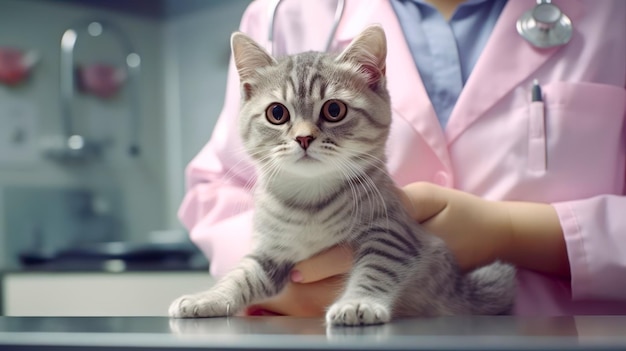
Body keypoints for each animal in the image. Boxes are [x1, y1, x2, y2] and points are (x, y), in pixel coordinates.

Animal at [168, 24, 516, 328]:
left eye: (334, 110)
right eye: (277, 113)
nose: (304, 138)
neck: (310, 203)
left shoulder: (395, 233)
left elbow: (376, 269)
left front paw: (358, 303)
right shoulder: (270, 251)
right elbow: (242, 274)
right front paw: (209, 297)